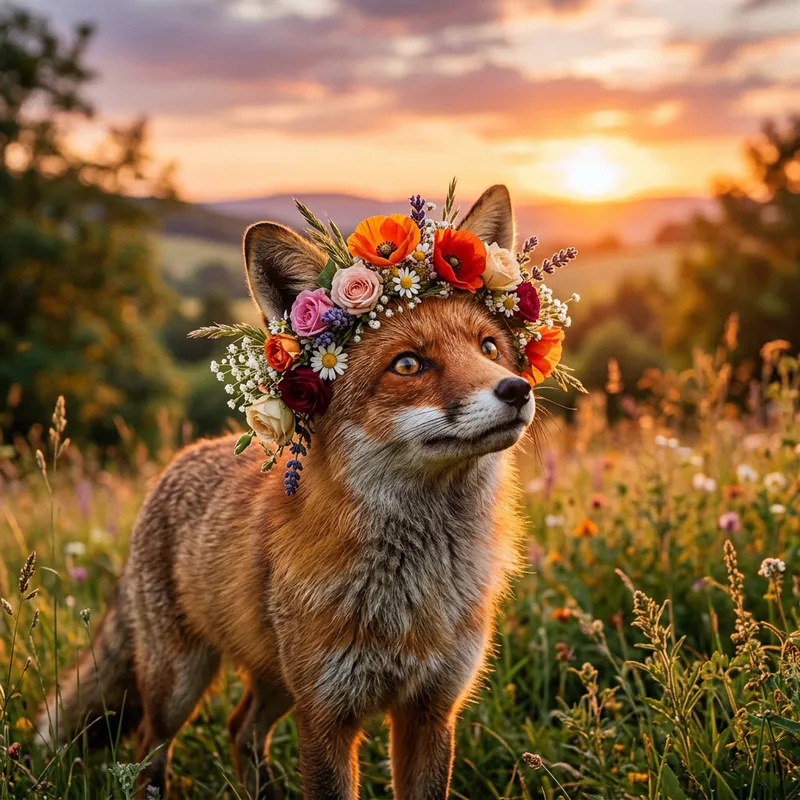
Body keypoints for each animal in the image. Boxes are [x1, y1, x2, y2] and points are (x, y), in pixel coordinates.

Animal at [38, 184, 536, 799]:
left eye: (489, 348)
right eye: (408, 364)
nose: (517, 389)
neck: (409, 594)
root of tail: (178, 460)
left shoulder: (430, 711)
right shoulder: (324, 715)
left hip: (276, 683)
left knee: (240, 728)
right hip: (181, 685)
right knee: (148, 748)